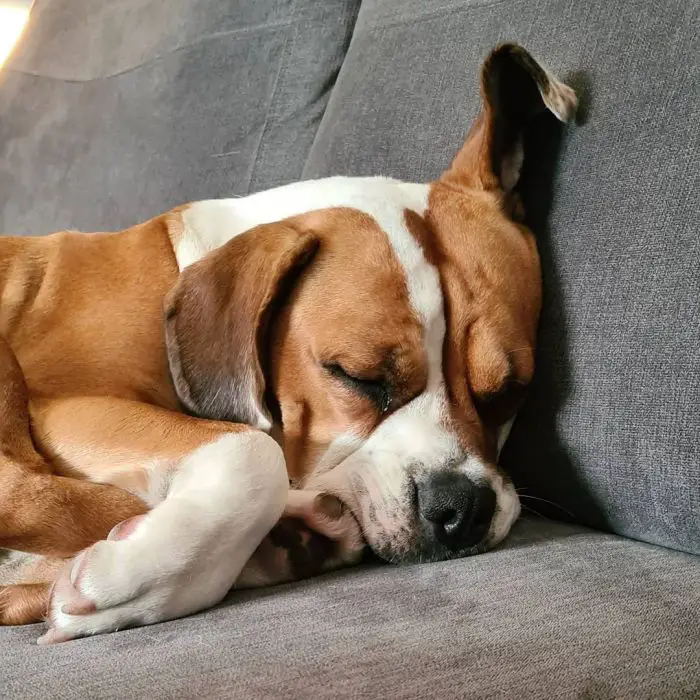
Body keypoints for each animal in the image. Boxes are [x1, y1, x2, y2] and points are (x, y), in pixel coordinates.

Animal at [0, 45, 576, 644]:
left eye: (510, 391)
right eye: (355, 376)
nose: (461, 506)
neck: (186, 262)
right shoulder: (65, 406)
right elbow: (255, 451)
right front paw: (135, 577)